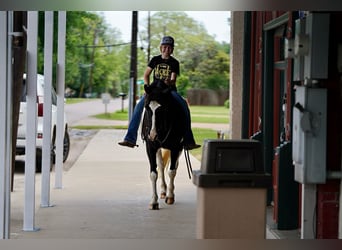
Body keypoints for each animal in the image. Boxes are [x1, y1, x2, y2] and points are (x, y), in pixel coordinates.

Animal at [140, 81, 186, 210]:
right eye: (147, 107)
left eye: (163, 109)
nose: (152, 135)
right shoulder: (150, 148)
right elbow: (153, 173)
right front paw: (154, 201)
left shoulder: (176, 147)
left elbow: (172, 171)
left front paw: (170, 197)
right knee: (161, 166)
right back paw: (163, 190)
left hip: (179, 149)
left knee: (174, 166)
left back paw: (170, 191)